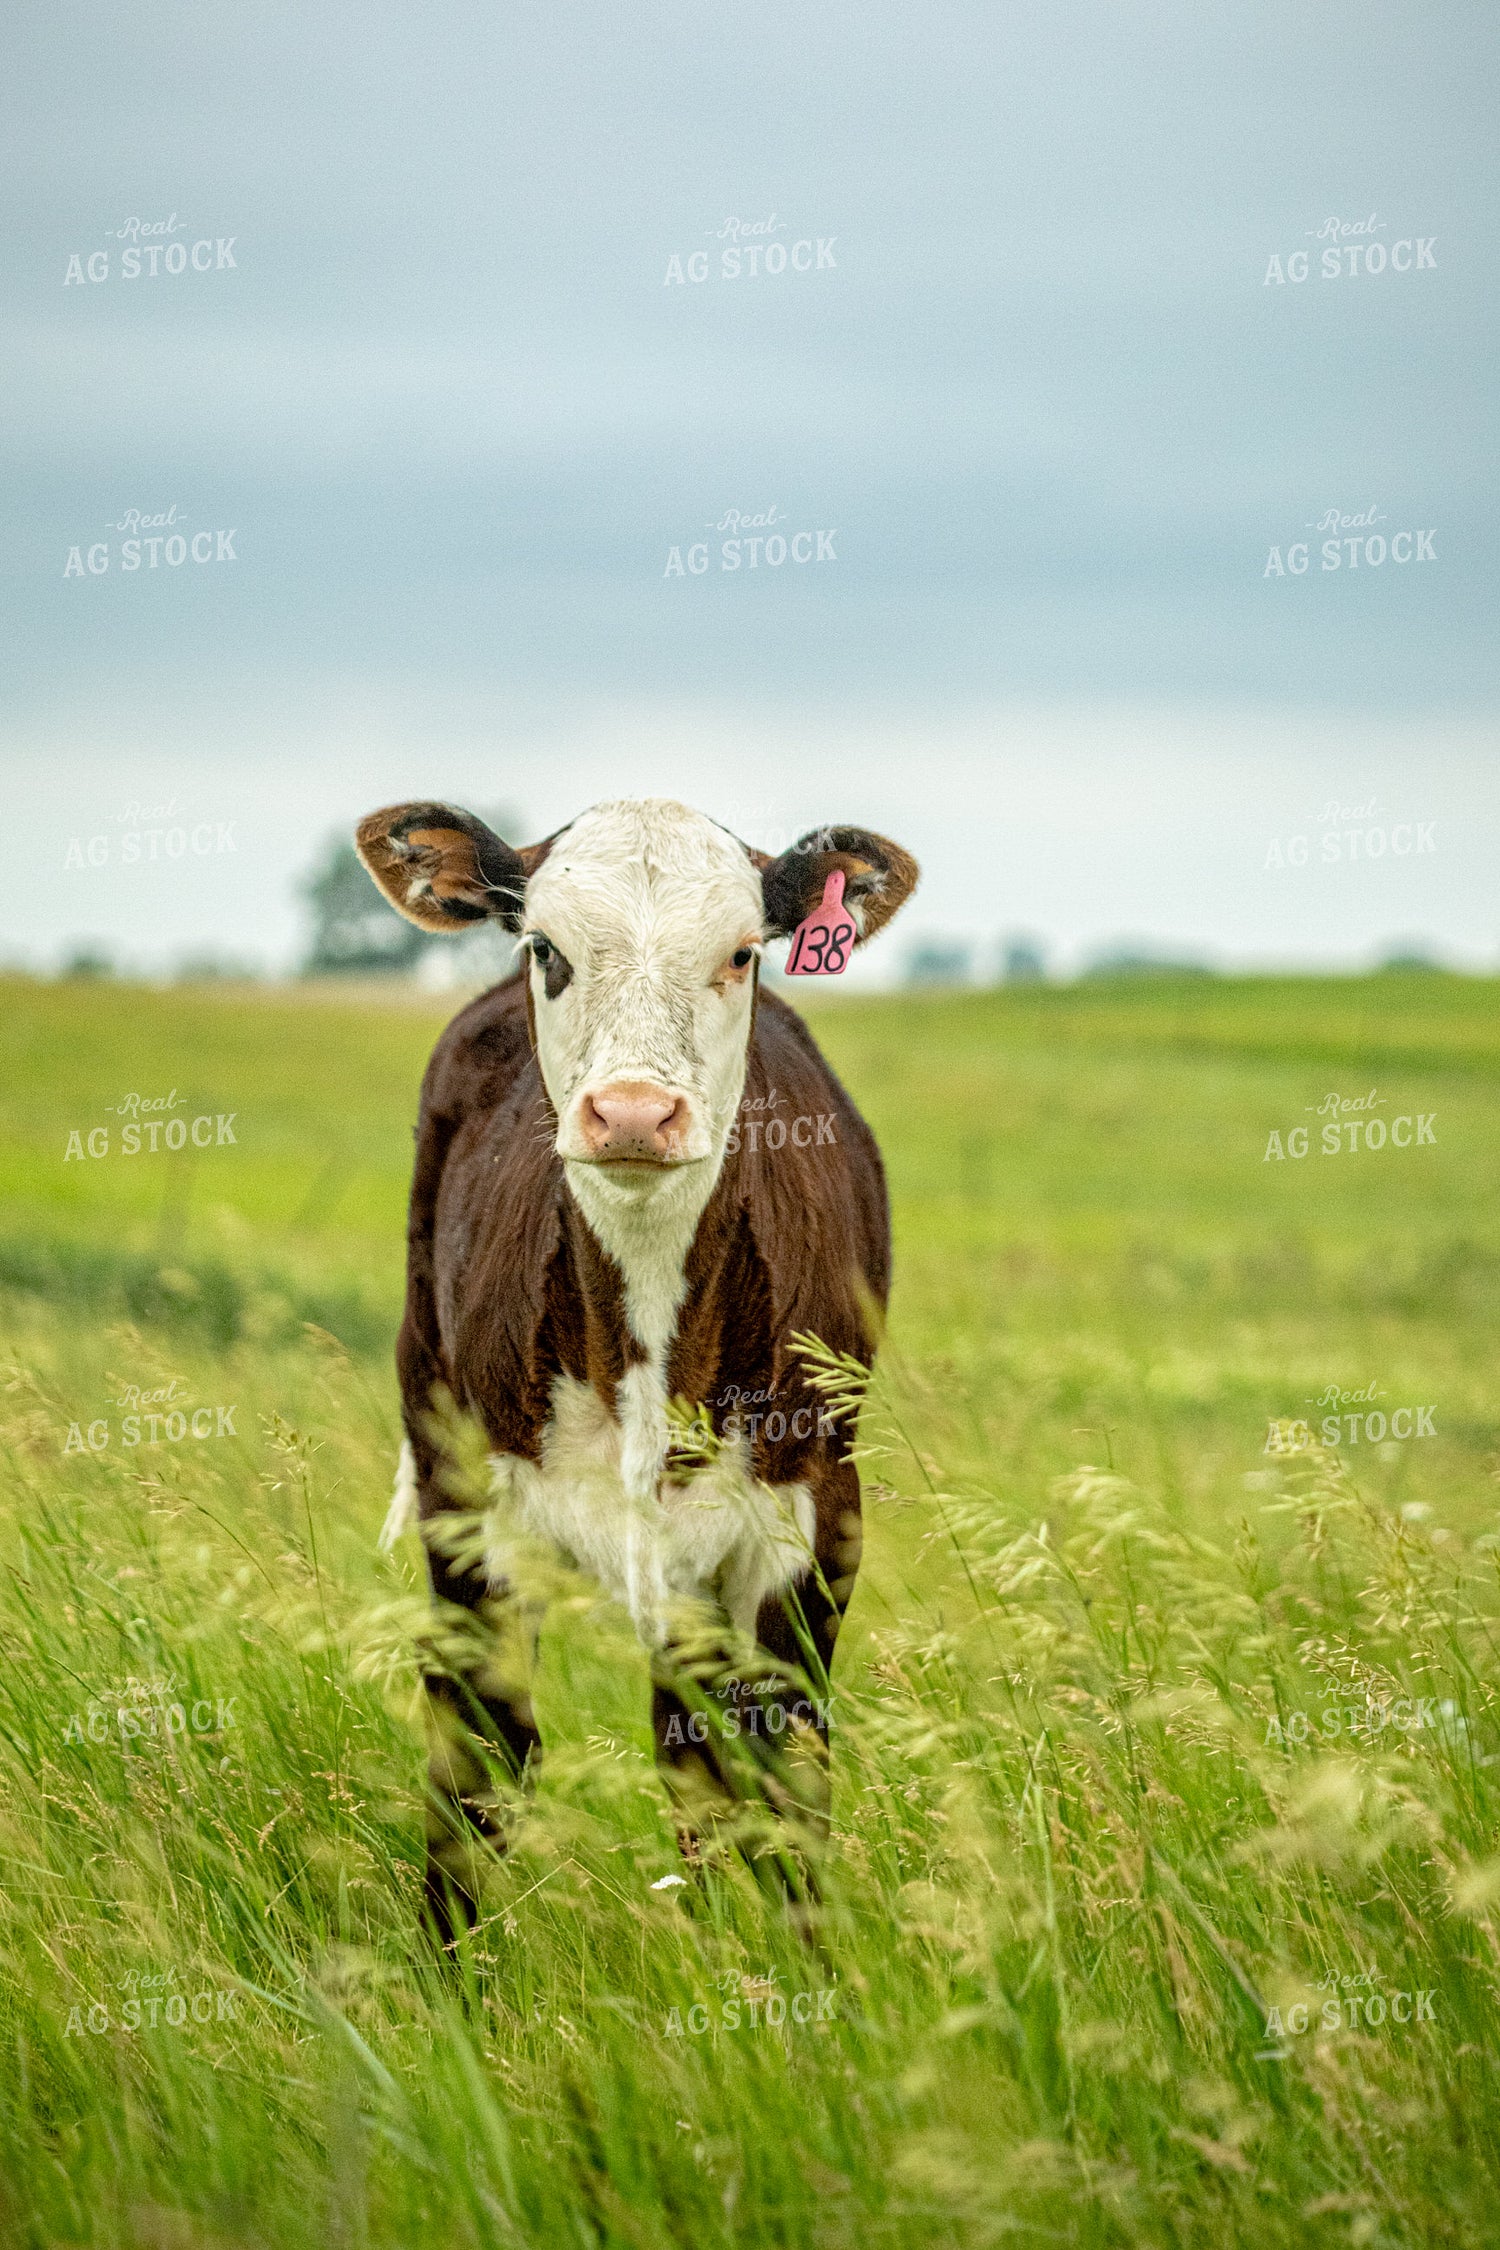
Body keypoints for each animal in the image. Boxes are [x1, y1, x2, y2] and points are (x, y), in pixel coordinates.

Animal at [356, 795, 919, 1937]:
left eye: (743, 952)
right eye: (546, 948)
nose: (630, 1113)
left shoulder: (812, 1519)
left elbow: (785, 1772)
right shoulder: (482, 1518)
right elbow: (478, 1760)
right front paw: (445, 1974)